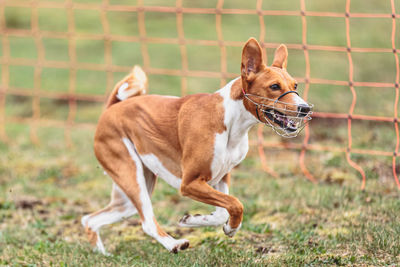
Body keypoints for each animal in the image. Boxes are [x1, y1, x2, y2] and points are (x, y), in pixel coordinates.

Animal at [80, 38, 312, 255]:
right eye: (274, 87)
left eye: (295, 86)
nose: (305, 108)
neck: (231, 120)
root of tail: (112, 107)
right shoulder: (190, 183)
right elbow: (236, 204)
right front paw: (230, 227)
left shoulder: (219, 177)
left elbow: (223, 210)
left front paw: (197, 220)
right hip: (132, 177)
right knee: (146, 223)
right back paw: (173, 244)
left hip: (131, 193)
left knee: (89, 220)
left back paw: (103, 254)